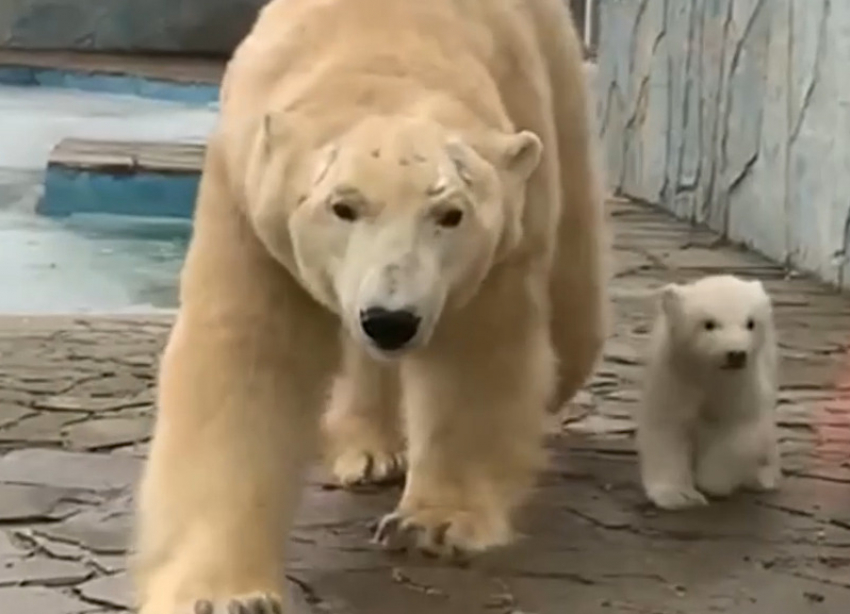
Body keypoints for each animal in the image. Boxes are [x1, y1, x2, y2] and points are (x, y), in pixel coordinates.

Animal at [132, 0, 608, 612]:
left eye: (450, 214)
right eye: (343, 206)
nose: (391, 321)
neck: (380, 45)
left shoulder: (499, 225)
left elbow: (475, 357)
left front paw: (433, 524)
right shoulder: (248, 204)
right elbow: (244, 362)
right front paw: (225, 594)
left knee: (572, 299)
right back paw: (368, 451)